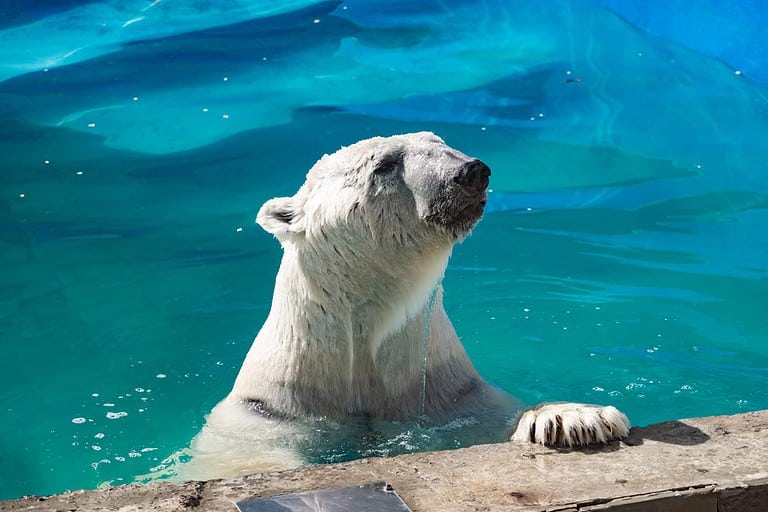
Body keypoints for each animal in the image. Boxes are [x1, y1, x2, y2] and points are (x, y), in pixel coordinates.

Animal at [176, 132, 629, 481]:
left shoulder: (449, 394)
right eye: (385, 165)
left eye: (440, 142)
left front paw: (574, 419)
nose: (472, 171)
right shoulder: (268, 414)